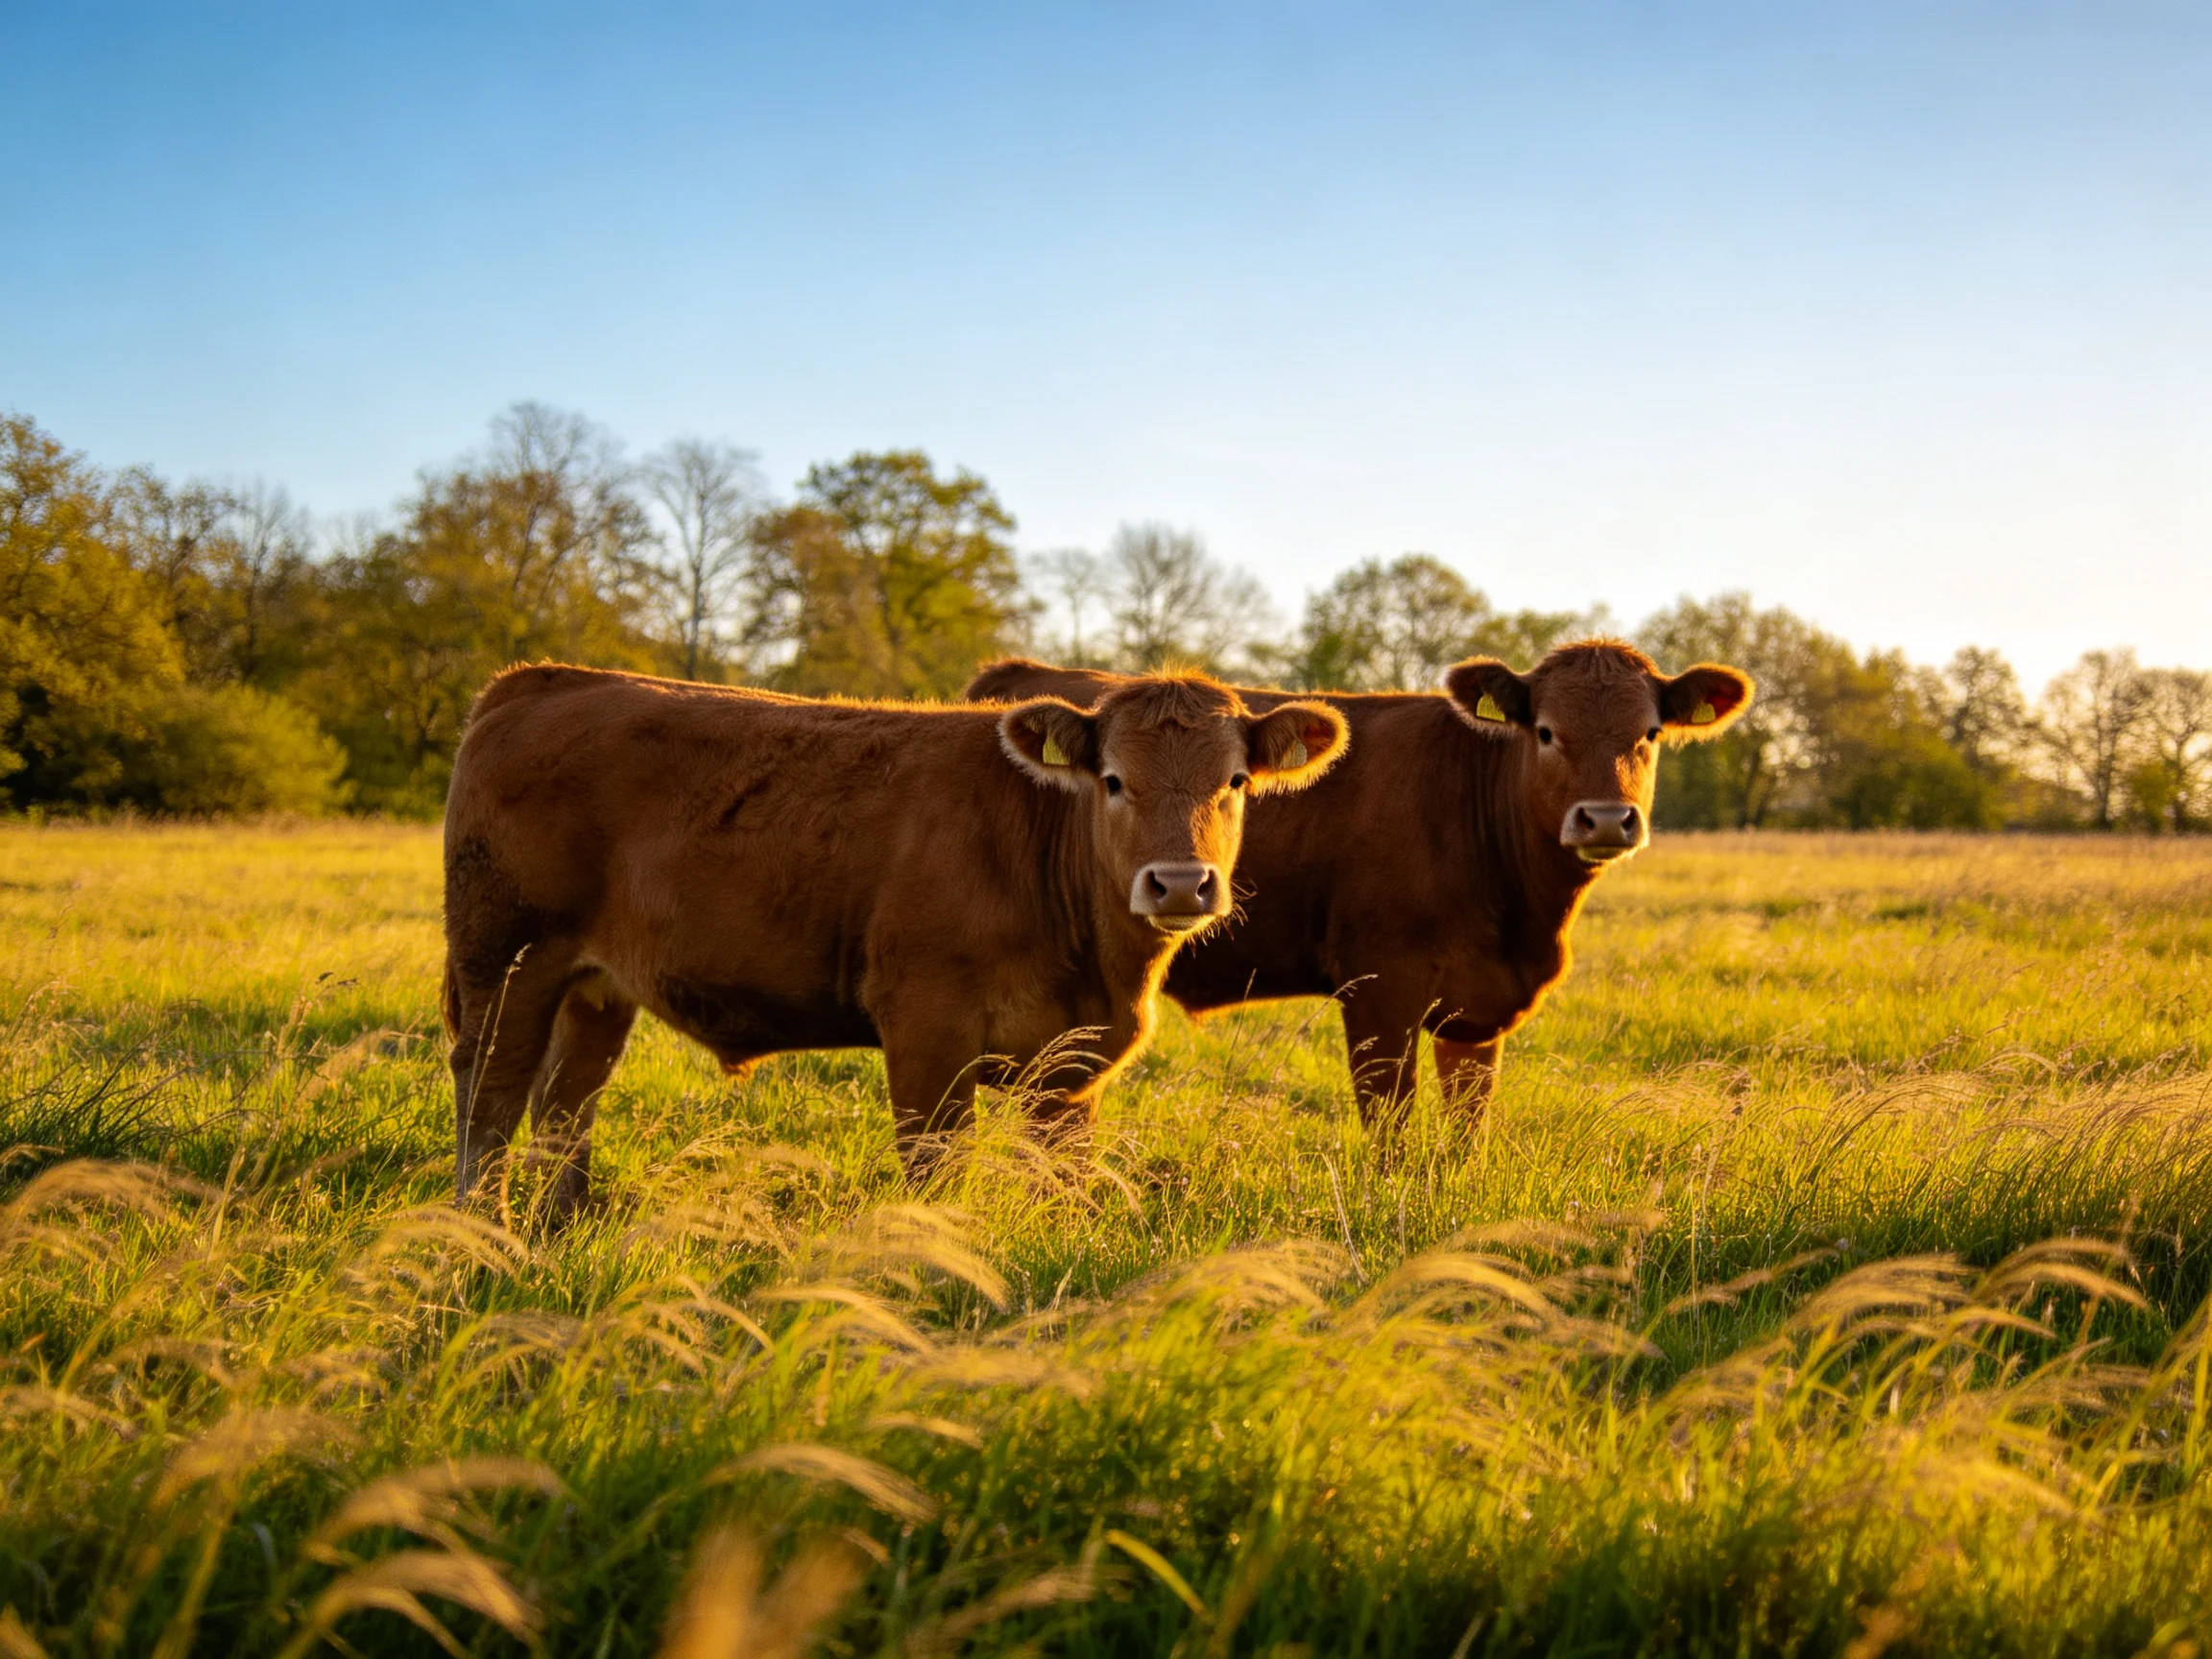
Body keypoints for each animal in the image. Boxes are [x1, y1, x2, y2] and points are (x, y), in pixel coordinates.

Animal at [442, 663, 1348, 1214]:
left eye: (1235, 782)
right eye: (1114, 780)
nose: (1180, 883)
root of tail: (541, 681)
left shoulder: (1071, 1068)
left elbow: (1063, 1179)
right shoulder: (925, 1031)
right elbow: (935, 1174)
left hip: (594, 988)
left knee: (566, 1103)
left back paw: (560, 1226)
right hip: (506, 962)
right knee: (490, 1099)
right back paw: (480, 1234)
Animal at [965, 641, 1752, 1127]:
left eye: (1649, 733)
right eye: (1548, 731)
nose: (1605, 818)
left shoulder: (1477, 1010)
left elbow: (1468, 1129)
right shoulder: (1380, 987)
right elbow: (1393, 1129)